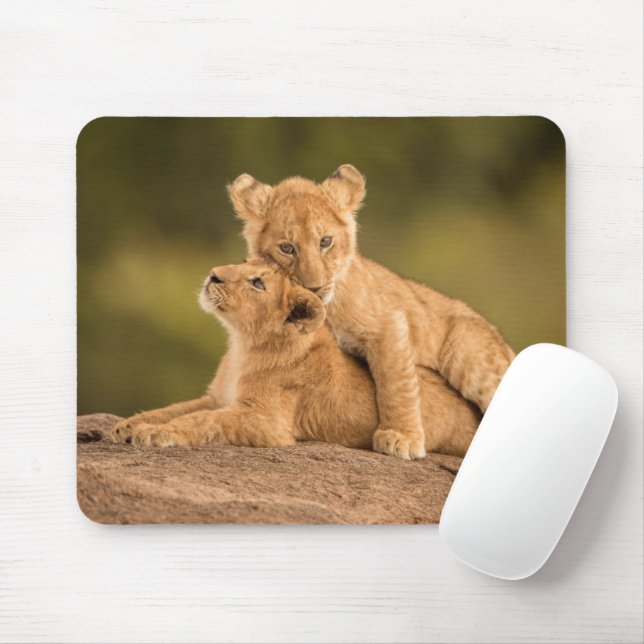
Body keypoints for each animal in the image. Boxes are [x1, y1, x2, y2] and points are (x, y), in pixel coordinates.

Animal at [112, 260, 481, 456]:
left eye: (257, 283)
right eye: (244, 261)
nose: (213, 274)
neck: (242, 345)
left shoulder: (270, 423)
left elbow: (201, 420)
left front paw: (156, 434)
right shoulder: (216, 397)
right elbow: (175, 409)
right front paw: (127, 426)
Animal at [228, 165, 515, 460]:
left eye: (325, 241)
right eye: (287, 247)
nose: (314, 287)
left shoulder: (388, 324)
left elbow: (395, 383)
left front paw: (401, 437)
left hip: (466, 348)